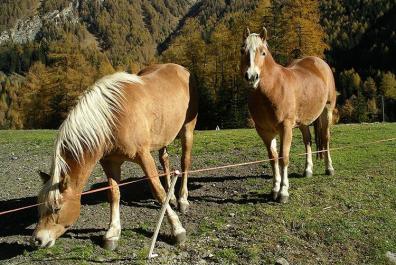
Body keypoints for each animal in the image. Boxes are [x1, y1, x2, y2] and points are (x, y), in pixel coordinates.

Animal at [31, 63, 198, 249]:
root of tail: (181, 69)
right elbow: (114, 194)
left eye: (57, 208)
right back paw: (173, 196)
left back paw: (182, 200)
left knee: (185, 162)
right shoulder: (110, 163)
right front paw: (112, 233)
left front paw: (177, 229)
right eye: (39, 207)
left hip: (187, 130)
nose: (37, 240)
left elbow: (158, 191)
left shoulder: (144, 157)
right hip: (163, 137)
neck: (112, 118)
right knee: (165, 161)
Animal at [240, 27, 336, 202]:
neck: (272, 88)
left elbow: (283, 157)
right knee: (307, 141)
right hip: (303, 121)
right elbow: (273, 158)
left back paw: (329, 168)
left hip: (327, 111)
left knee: (325, 139)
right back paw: (308, 170)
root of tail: (319, 63)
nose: (251, 77)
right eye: (242, 50)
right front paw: (274, 189)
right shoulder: (264, 131)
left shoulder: (285, 127)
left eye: (263, 52)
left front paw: (283, 192)